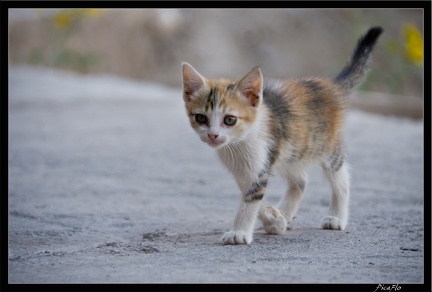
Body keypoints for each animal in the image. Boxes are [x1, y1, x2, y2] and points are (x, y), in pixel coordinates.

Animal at [181, 26, 384, 244]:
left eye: (229, 120)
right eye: (201, 118)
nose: (213, 135)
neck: (239, 143)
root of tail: (331, 86)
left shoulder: (261, 163)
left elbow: (251, 200)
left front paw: (239, 232)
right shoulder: (247, 171)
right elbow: (253, 196)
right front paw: (274, 219)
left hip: (326, 147)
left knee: (341, 178)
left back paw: (336, 217)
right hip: (292, 151)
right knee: (301, 180)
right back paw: (285, 213)